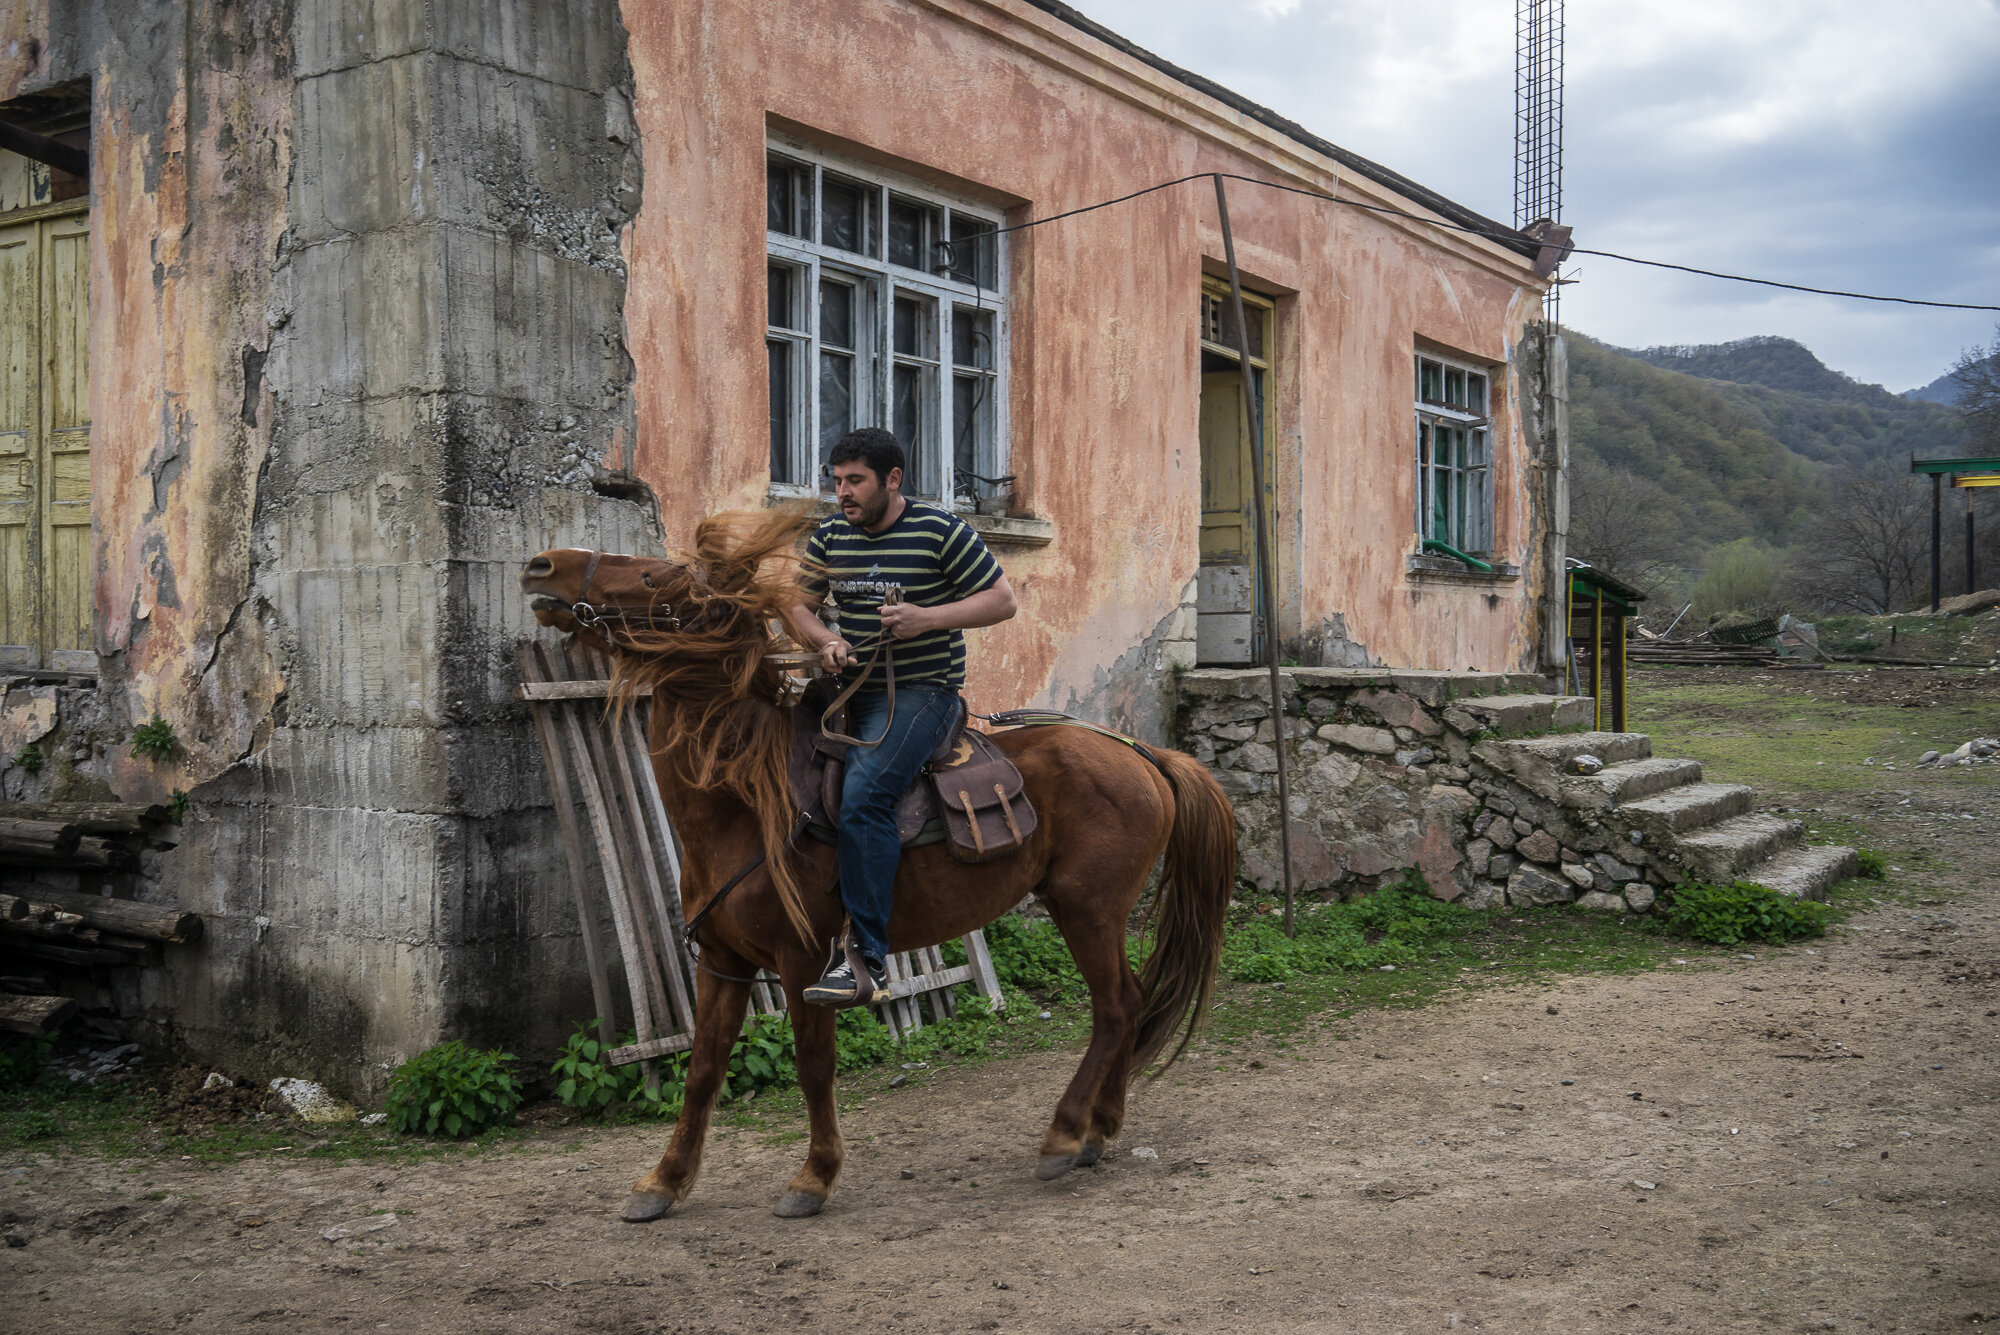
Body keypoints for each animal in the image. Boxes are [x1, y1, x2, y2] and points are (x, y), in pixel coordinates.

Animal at [516, 507, 1232, 1223]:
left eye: (650, 577)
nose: (541, 566)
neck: (744, 800)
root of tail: (1143, 754)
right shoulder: (722, 961)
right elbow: (703, 1070)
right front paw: (663, 1182)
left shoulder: (803, 958)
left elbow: (813, 1064)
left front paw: (814, 1176)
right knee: (1129, 1004)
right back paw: (1098, 1131)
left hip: (1088, 908)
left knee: (1116, 1007)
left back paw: (1064, 1133)